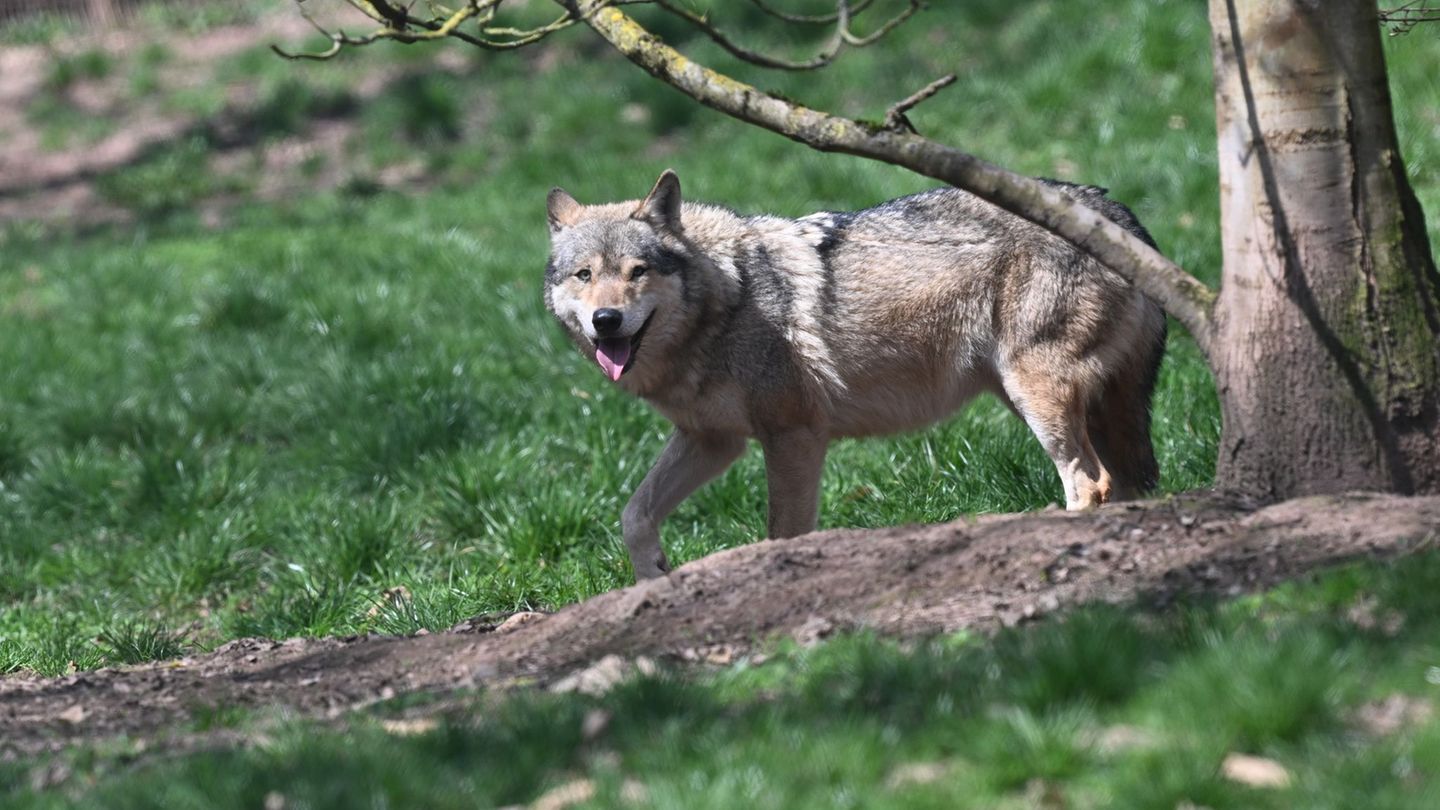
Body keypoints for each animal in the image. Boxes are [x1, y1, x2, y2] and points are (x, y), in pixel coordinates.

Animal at [544, 170, 1166, 579]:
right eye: (584, 275)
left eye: (637, 271)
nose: (606, 320)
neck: (726, 299)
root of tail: (1120, 216)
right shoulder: (713, 440)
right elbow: (634, 514)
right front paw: (654, 577)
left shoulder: (793, 435)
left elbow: (783, 532)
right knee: (1123, 484)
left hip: (1035, 397)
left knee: (1089, 483)